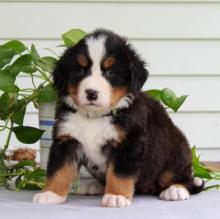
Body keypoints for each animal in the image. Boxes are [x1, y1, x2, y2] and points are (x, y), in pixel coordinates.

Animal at [33, 28, 205, 207]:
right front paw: (50, 194)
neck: (94, 117)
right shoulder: (66, 140)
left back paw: (175, 190)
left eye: (110, 72)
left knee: (182, 178)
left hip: (177, 152)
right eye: (80, 70)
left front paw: (116, 196)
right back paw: (95, 186)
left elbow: (119, 173)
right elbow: (59, 170)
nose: (91, 93)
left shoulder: (129, 143)